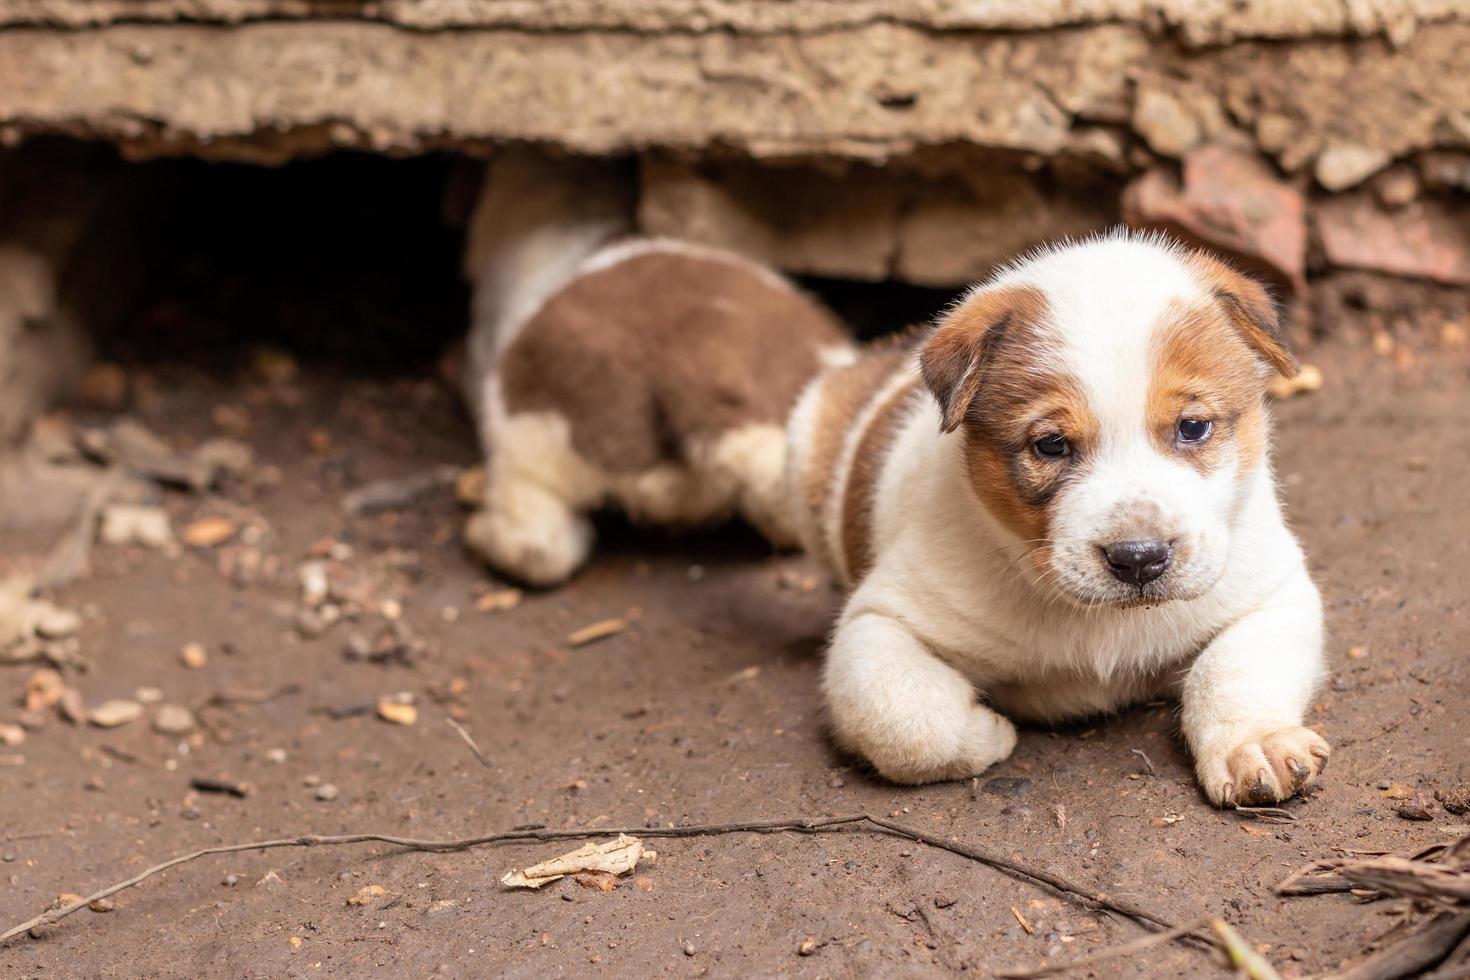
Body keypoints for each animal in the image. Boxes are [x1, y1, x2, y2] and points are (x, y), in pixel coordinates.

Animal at [793, 233, 1334, 811]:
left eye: (1193, 427)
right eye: (1051, 444)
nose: (1139, 559)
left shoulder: (1271, 593)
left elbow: (1234, 667)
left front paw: (1255, 741)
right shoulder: (878, 621)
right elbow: (904, 717)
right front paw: (986, 733)